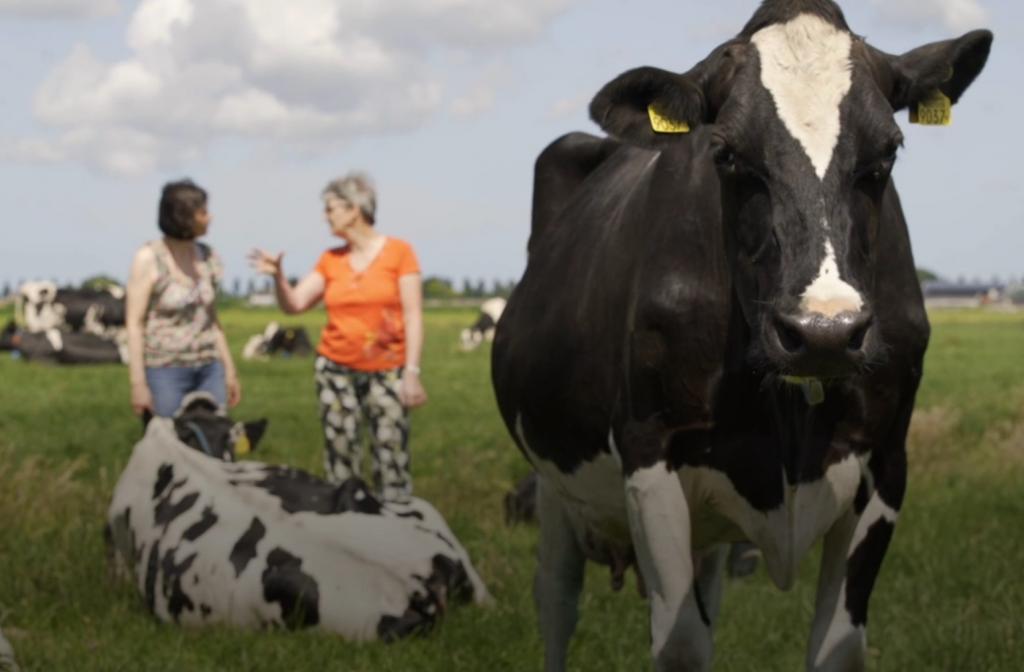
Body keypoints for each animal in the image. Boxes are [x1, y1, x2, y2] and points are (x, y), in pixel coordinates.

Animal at [491, 2, 987, 667]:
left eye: (889, 149)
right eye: (725, 152)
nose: (823, 332)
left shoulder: (887, 457)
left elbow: (836, 646)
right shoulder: (649, 446)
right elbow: (681, 644)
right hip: (551, 486)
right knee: (556, 603)